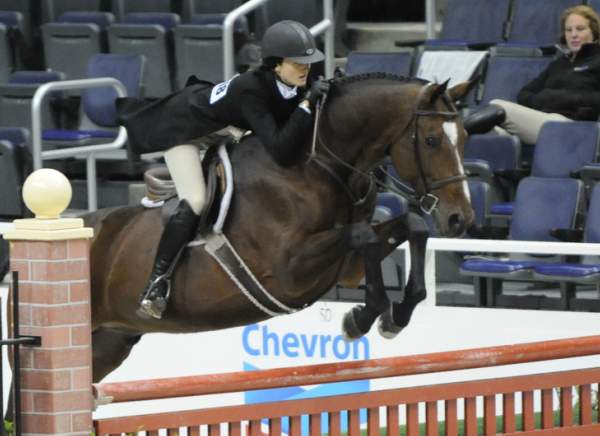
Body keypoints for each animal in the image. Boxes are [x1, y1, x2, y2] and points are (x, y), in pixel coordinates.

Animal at [86, 74, 476, 382]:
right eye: (431, 141)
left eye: (466, 136)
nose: (461, 219)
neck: (316, 164)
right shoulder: (289, 270)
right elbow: (364, 236)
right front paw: (362, 318)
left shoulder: (348, 267)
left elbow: (411, 226)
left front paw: (395, 316)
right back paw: (154, 294)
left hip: (110, 342)